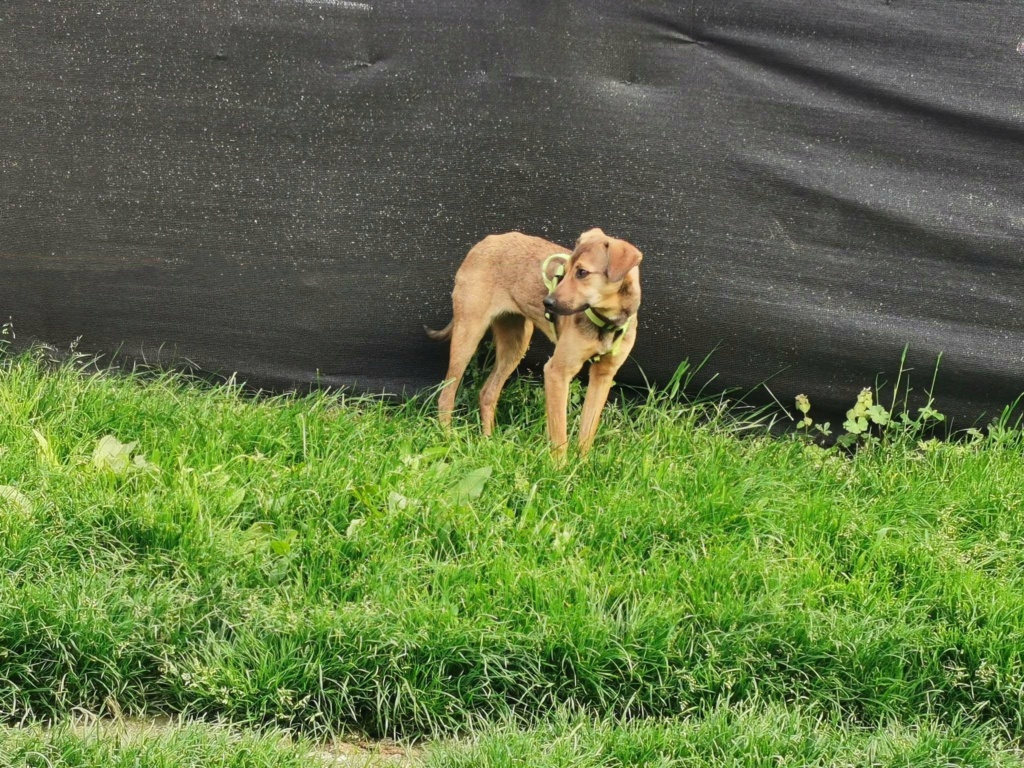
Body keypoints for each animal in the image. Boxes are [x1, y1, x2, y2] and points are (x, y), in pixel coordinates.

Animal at [428, 225, 643, 460]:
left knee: (487, 393)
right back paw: (449, 440)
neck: (607, 322)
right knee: (446, 396)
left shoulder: (603, 376)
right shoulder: (557, 372)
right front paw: (561, 467)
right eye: (565, 269)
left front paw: (582, 464)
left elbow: (587, 432)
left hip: (516, 344)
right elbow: (559, 435)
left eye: (582, 272)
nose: (547, 303)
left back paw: (488, 441)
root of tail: (486, 241)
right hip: (468, 335)